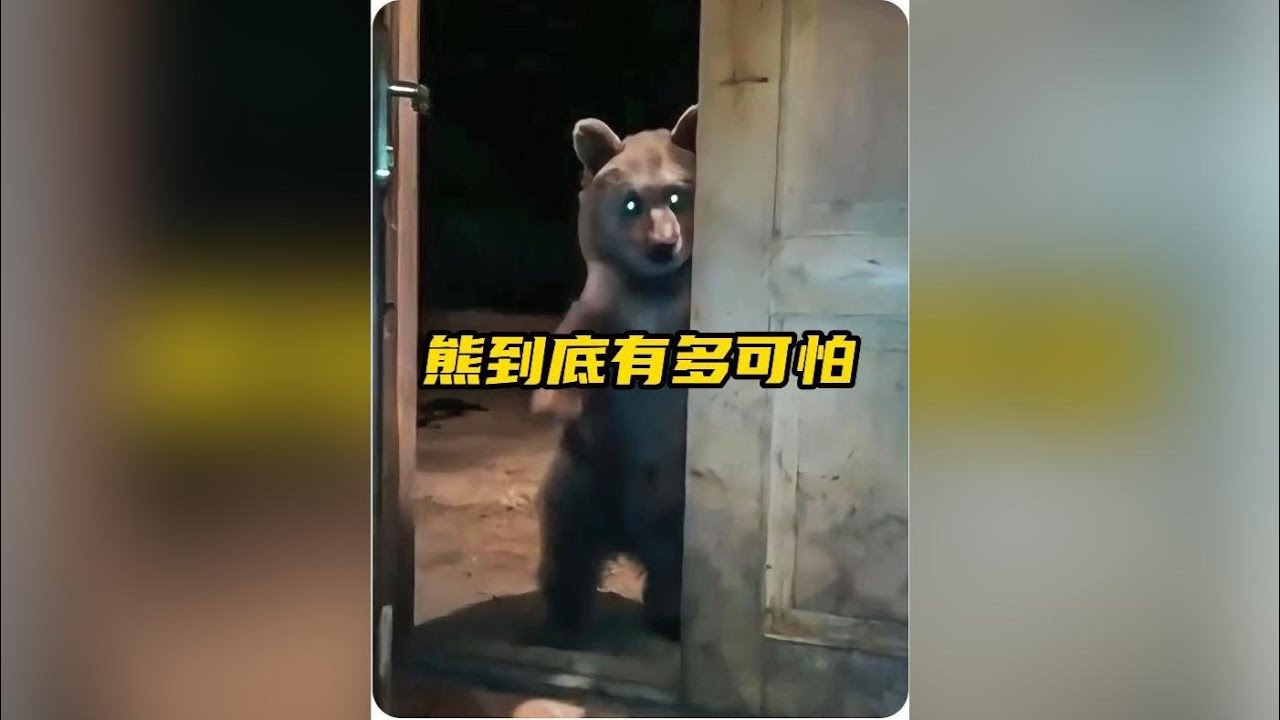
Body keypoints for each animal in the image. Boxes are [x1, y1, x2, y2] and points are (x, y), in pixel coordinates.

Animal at [531, 105, 697, 646]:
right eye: (630, 203)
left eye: (676, 195)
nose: (663, 246)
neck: (653, 288)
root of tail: (629, 538)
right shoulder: (605, 305)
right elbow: (572, 349)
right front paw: (551, 401)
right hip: (582, 475)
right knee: (567, 548)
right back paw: (561, 621)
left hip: (678, 507)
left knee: (676, 572)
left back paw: (669, 618)